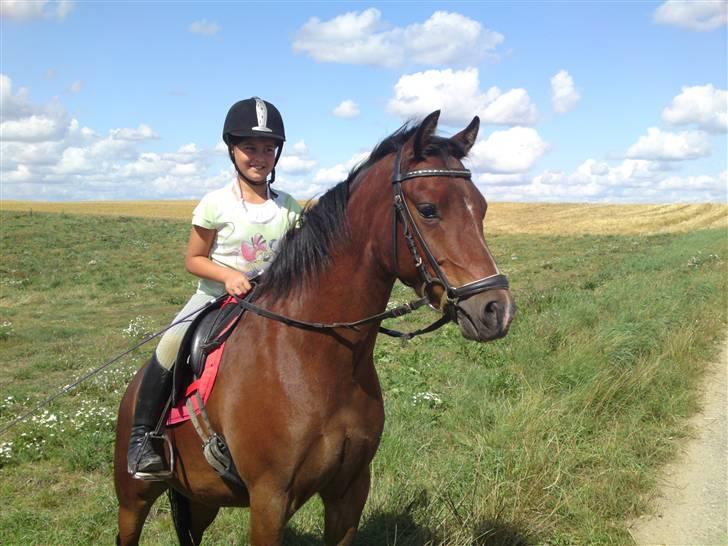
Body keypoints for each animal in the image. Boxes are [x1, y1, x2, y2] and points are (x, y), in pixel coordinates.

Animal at [113, 110, 515, 545]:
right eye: (428, 209)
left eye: (482, 208)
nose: (496, 309)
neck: (316, 356)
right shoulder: (269, 501)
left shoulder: (349, 490)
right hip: (134, 499)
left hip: (202, 500)